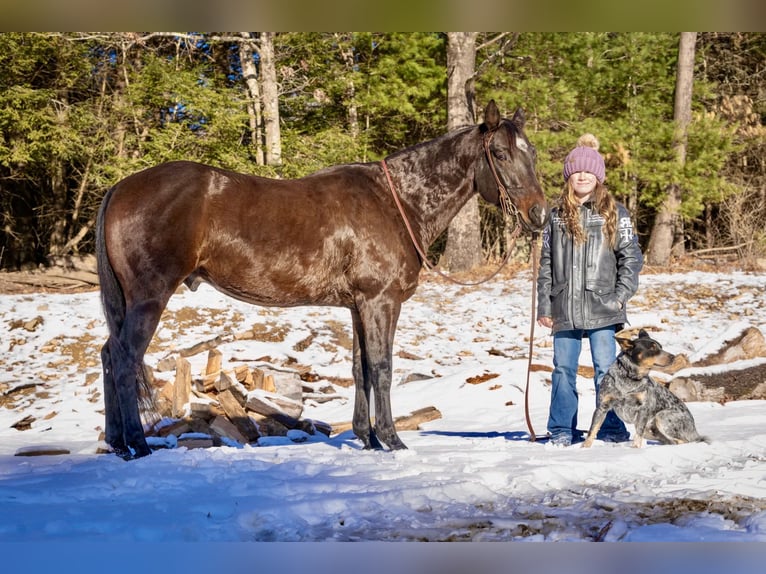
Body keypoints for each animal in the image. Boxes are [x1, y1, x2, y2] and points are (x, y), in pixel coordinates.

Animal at [96, 99, 548, 460]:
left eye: (532, 154)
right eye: (500, 153)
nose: (539, 214)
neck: (397, 202)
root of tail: (120, 187)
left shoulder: (358, 305)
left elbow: (360, 368)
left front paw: (368, 438)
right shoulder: (381, 301)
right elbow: (381, 368)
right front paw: (392, 440)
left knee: (108, 354)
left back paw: (118, 443)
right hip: (149, 296)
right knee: (125, 357)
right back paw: (137, 445)